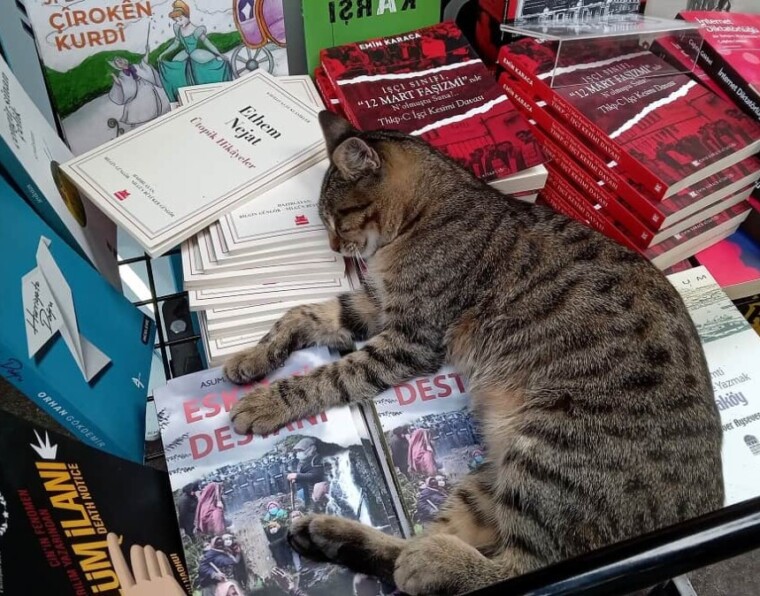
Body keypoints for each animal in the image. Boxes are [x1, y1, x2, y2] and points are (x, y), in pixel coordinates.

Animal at [223, 111, 724, 595]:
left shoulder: (410, 338)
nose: (333, 248)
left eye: (339, 217)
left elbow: (330, 376)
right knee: (424, 551)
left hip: (549, 447)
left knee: (521, 569)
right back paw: (333, 537)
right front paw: (251, 357)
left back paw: (428, 561)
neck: (423, 217)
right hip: (494, 477)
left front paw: (268, 402)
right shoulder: (374, 305)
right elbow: (300, 315)